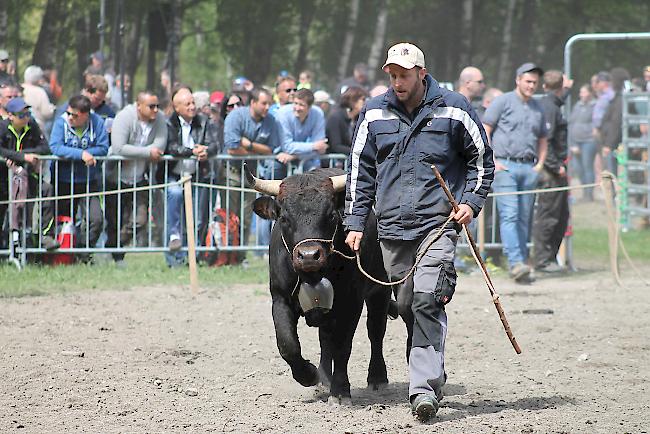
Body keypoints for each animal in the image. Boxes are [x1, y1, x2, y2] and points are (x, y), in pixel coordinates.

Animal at [246, 167, 392, 404]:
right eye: (284, 218)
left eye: (331, 215)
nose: (308, 256)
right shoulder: (280, 299)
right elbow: (287, 345)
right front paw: (309, 375)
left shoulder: (351, 302)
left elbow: (342, 345)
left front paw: (340, 391)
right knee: (325, 339)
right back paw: (324, 378)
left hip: (381, 290)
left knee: (375, 331)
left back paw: (377, 378)